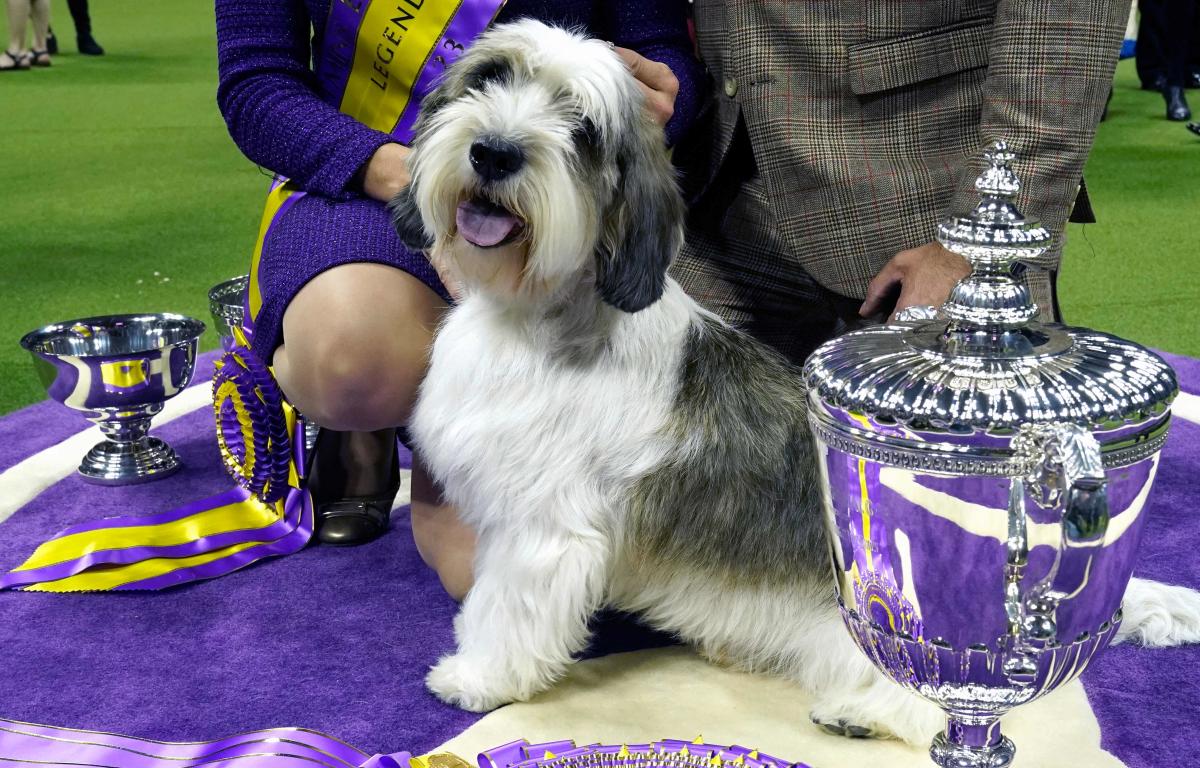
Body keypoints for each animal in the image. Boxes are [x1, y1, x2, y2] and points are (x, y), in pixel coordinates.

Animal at [391, 21, 1200, 744]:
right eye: (490, 77)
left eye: (582, 127)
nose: (494, 152)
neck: (536, 317)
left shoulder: (545, 531)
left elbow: (507, 612)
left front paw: (477, 677)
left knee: (945, 691)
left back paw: (867, 713)